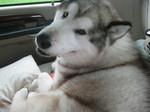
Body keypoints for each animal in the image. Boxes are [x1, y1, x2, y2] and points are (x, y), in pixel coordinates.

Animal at [9, 0, 149, 112]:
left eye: (81, 32)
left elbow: (43, 75)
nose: (42, 40)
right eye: (65, 14)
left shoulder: (54, 86)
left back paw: (23, 93)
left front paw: (33, 83)